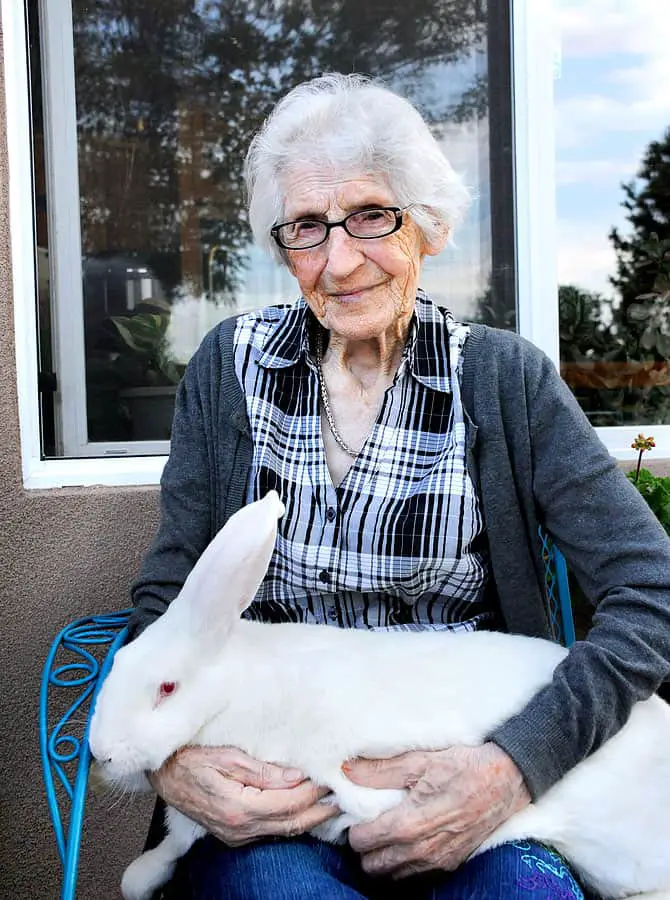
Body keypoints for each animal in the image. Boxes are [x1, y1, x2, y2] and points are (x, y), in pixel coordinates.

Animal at [92, 492, 670, 900]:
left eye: (167, 688)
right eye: (120, 662)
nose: (102, 754)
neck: (235, 692)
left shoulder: (323, 750)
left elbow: (346, 787)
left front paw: (376, 809)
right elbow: (169, 846)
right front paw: (140, 877)